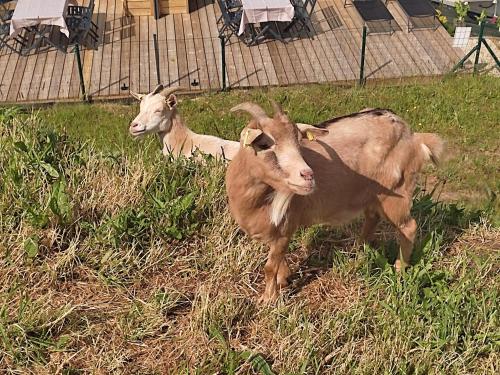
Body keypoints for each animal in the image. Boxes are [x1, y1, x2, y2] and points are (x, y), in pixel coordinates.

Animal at [227, 102, 446, 302]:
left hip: (396, 193)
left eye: (299, 143)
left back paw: (399, 271)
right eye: (263, 144)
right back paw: (358, 251)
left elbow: (270, 266)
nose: (308, 175)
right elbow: (277, 258)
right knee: (372, 217)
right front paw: (284, 280)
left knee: (408, 227)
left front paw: (269, 299)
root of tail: (414, 136)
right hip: (373, 194)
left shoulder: (285, 224)